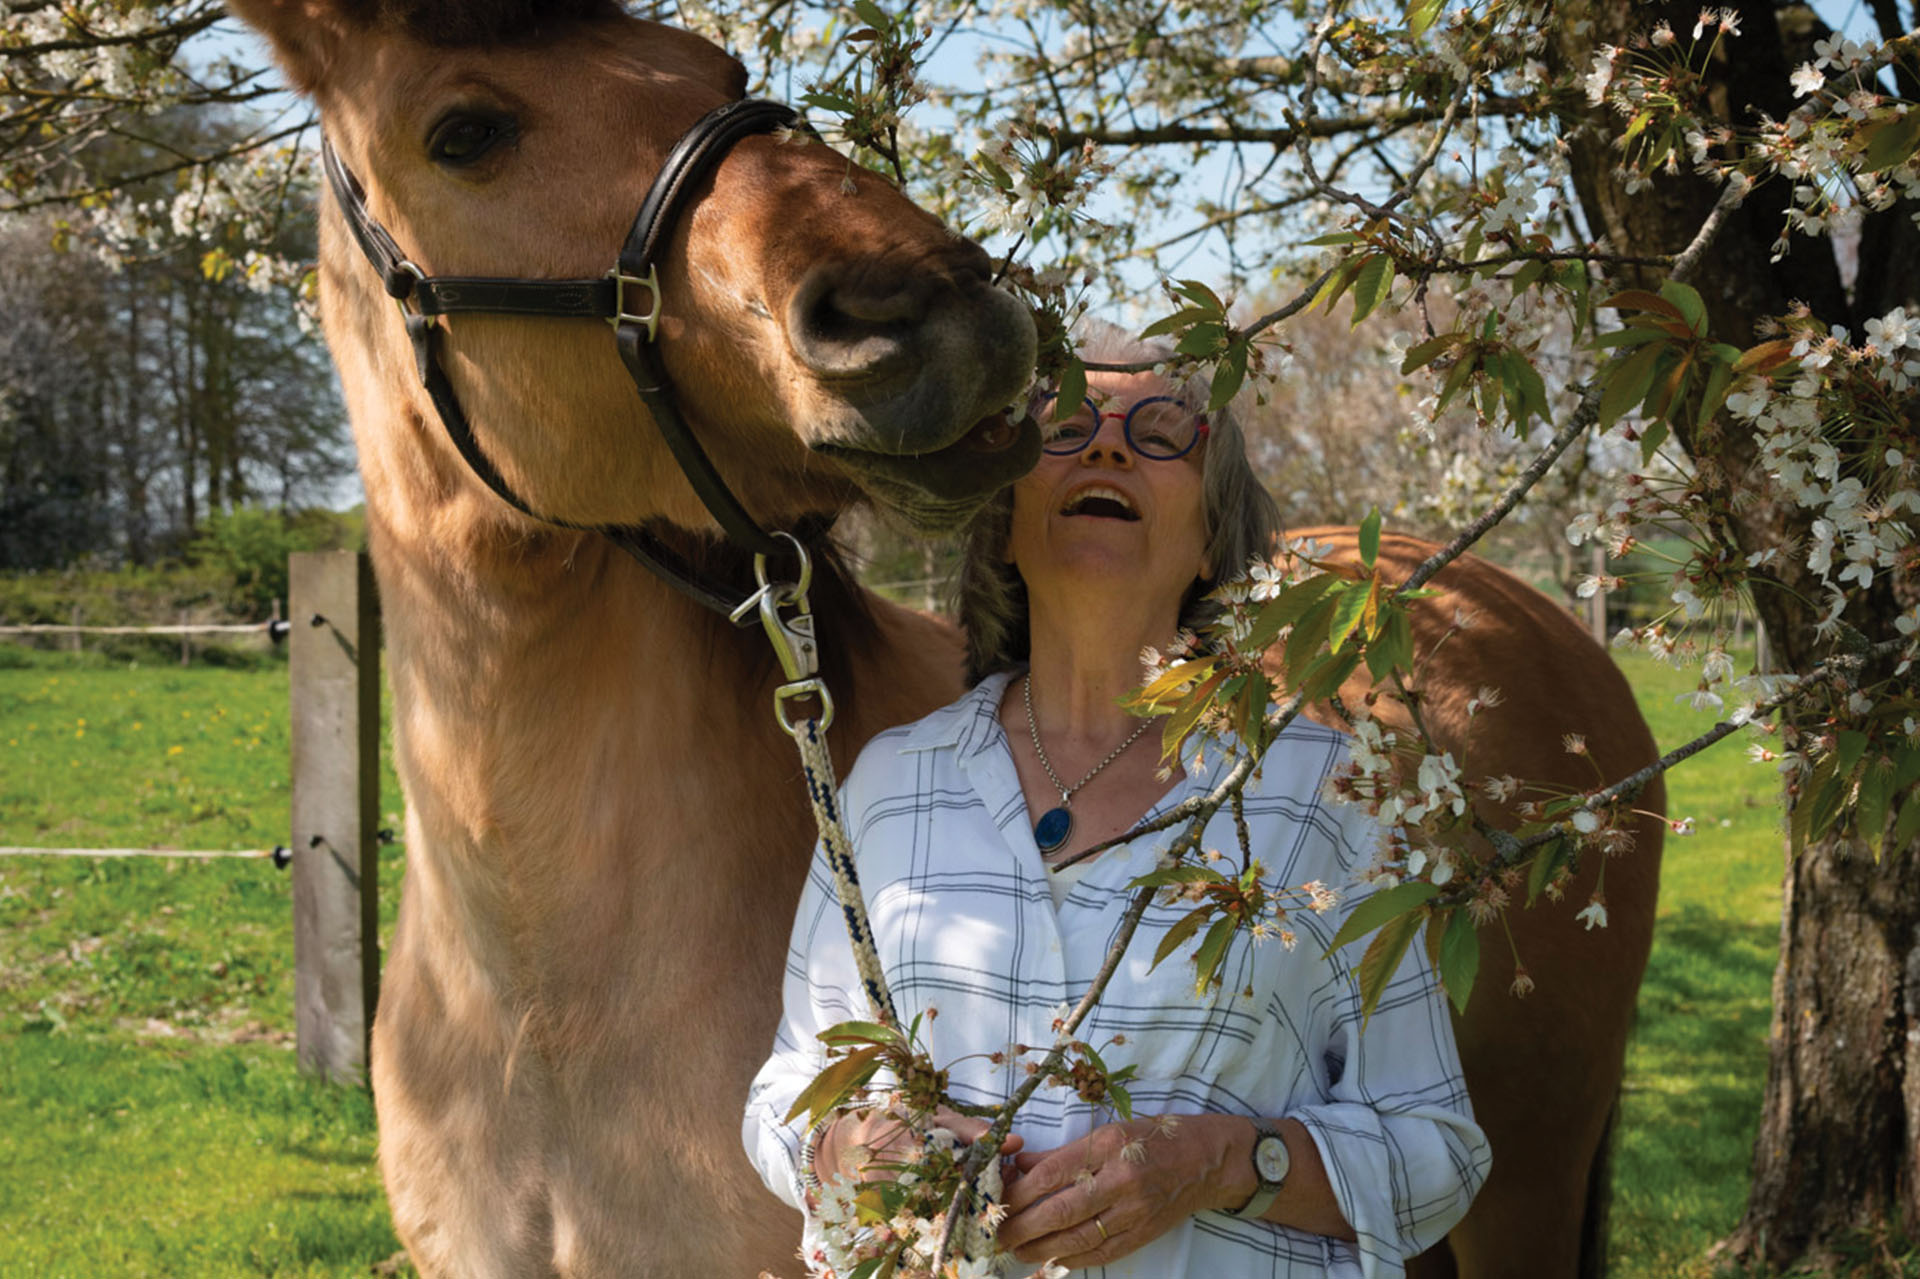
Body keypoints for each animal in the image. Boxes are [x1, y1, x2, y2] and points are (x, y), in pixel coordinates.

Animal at [228, 4, 1666, 1267]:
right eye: (465, 131)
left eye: (716, 65)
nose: (943, 310)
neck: (544, 1004)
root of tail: (1538, 621)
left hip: (1525, 1193)